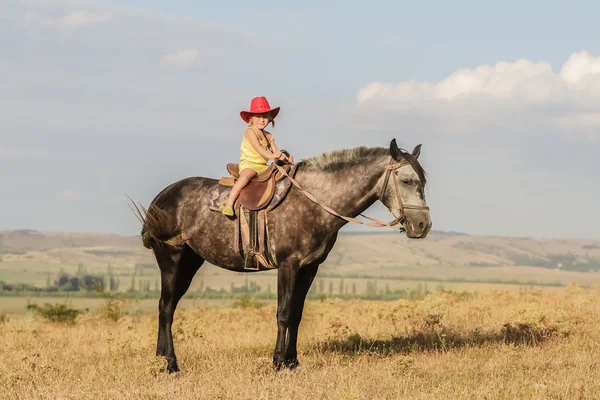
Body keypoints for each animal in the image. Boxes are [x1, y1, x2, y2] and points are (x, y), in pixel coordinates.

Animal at [137, 138, 432, 372]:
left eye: (423, 182)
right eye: (406, 180)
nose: (423, 226)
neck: (315, 202)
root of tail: (162, 197)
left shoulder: (309, 267)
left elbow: (297, 314)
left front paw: (292, 361)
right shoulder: (288, 265)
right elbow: (284, 312)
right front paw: (278, 362)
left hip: (190, 262)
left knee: (166, 307)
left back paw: (160, 358)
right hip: (172, 259)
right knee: (166, 308)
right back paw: (171, 364)